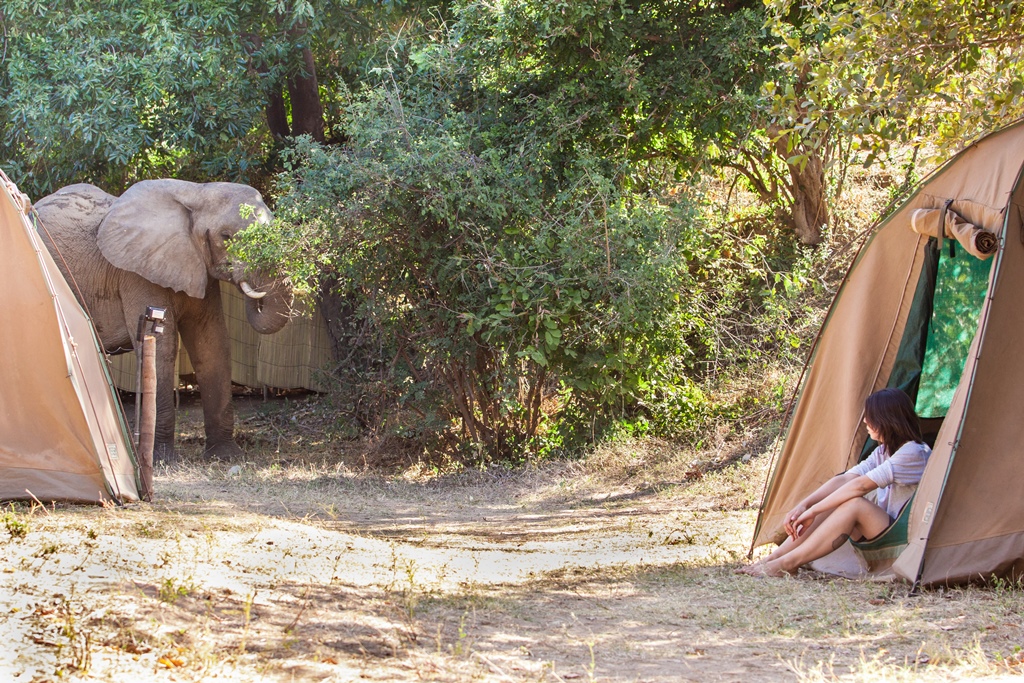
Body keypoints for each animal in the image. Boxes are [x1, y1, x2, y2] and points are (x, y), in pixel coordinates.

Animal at [34, 179, 293, 461]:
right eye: (226, 237)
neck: (196, 193)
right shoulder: (138, 274)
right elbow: (163, 349)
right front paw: (162, 460)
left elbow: (212, 345)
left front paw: (226, 455)